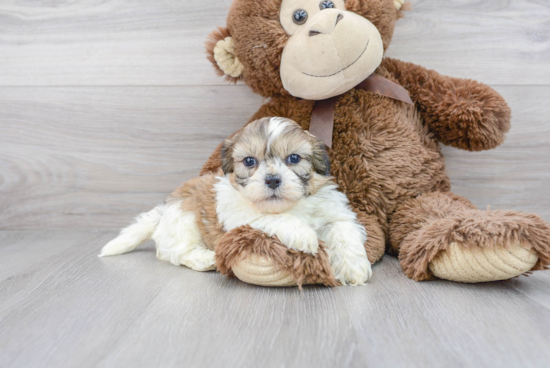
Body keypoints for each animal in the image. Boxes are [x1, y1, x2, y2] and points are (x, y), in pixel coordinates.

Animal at [101, 117, 374, 284]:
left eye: (294, 158)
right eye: (249, 161)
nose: (272, 180)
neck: (289, 205)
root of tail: (166, 209)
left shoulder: (334, 210)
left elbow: (343, 229)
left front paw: (353, 267)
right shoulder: (241, 217)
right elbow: (273, 218)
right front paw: (303, 234)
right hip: (184, 220)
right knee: (174, 252)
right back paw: (205, 259)